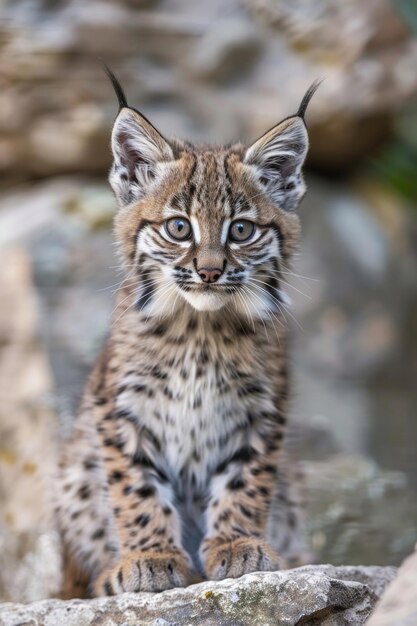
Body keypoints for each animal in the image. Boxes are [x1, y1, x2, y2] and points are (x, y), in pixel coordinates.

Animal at [56, 69, 318, 596]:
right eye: (179, 228)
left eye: (241, 231)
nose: (210, 272)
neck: (200, 328)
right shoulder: (120, 406)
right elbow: (134, 488)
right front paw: (149, 556)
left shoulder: (263, 407)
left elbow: (246, 480)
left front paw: (238, 545)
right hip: (75, 472)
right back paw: (111, 574)